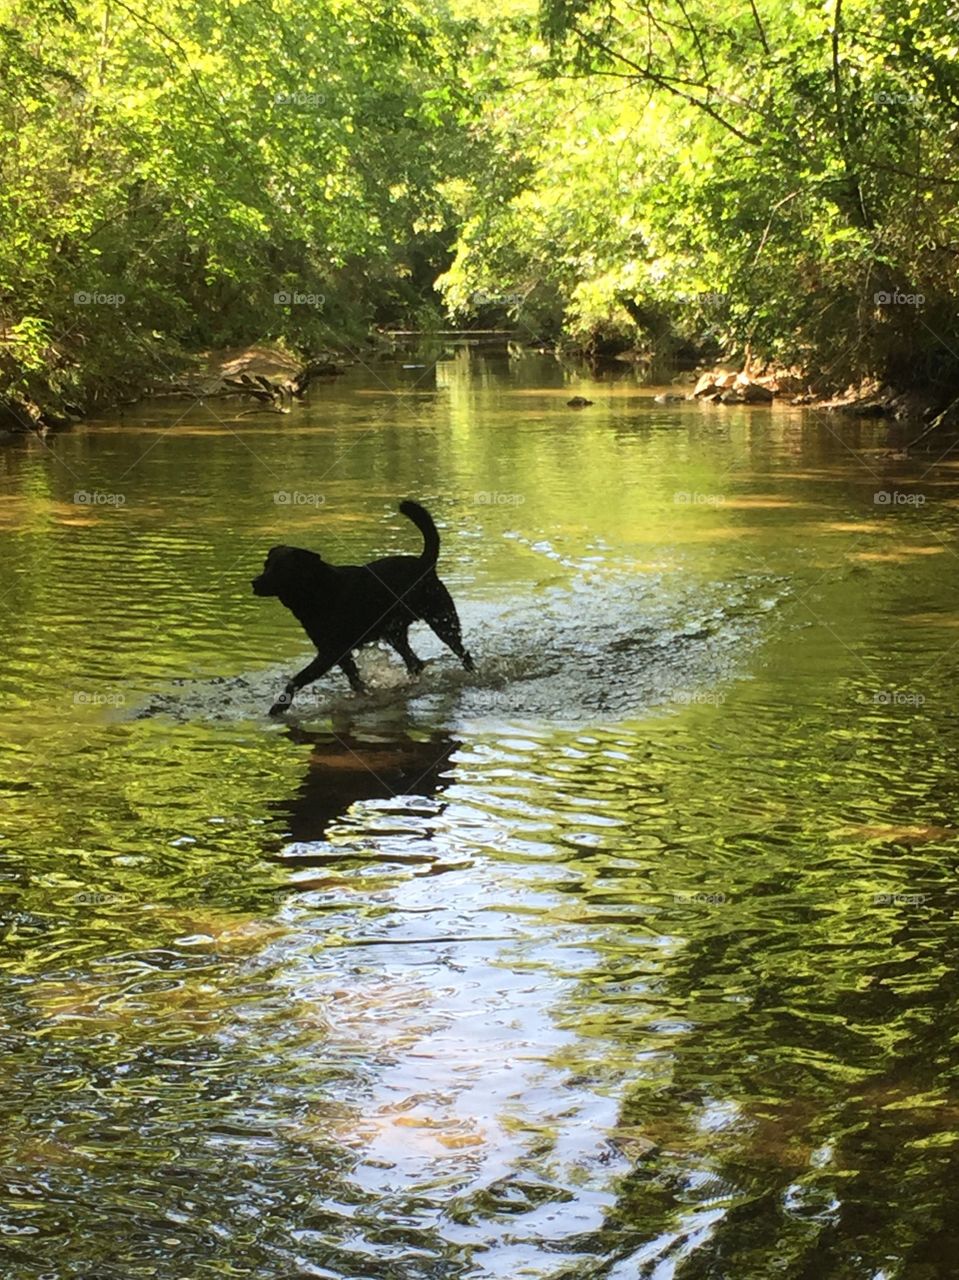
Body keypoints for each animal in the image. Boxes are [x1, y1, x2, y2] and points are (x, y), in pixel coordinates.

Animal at [248, 499, 468, 716]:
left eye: (280, 569)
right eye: (266, 565)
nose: (254, 582)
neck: (317, 591)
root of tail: (424, 563)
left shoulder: (330, 653)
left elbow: (296, 680)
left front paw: (279, 706)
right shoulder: (339, 654)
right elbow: (356, 681)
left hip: (443, 621)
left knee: (462, 653)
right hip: (395, 634)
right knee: (415, 662)